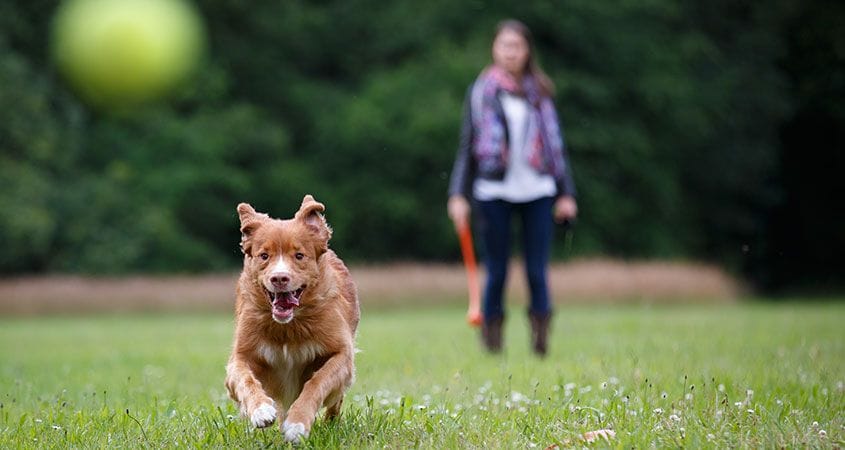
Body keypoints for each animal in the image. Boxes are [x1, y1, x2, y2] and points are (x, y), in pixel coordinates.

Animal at [223, 196, 358, 442]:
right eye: (264, 256)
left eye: (299, 255)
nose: (279, 278)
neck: (289, 327)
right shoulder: (241, 355)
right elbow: (245, 379)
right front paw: (261, 410)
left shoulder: (342, 353)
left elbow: (317, 382)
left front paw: (297, 424)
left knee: (336, 400)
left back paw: (331, 423)